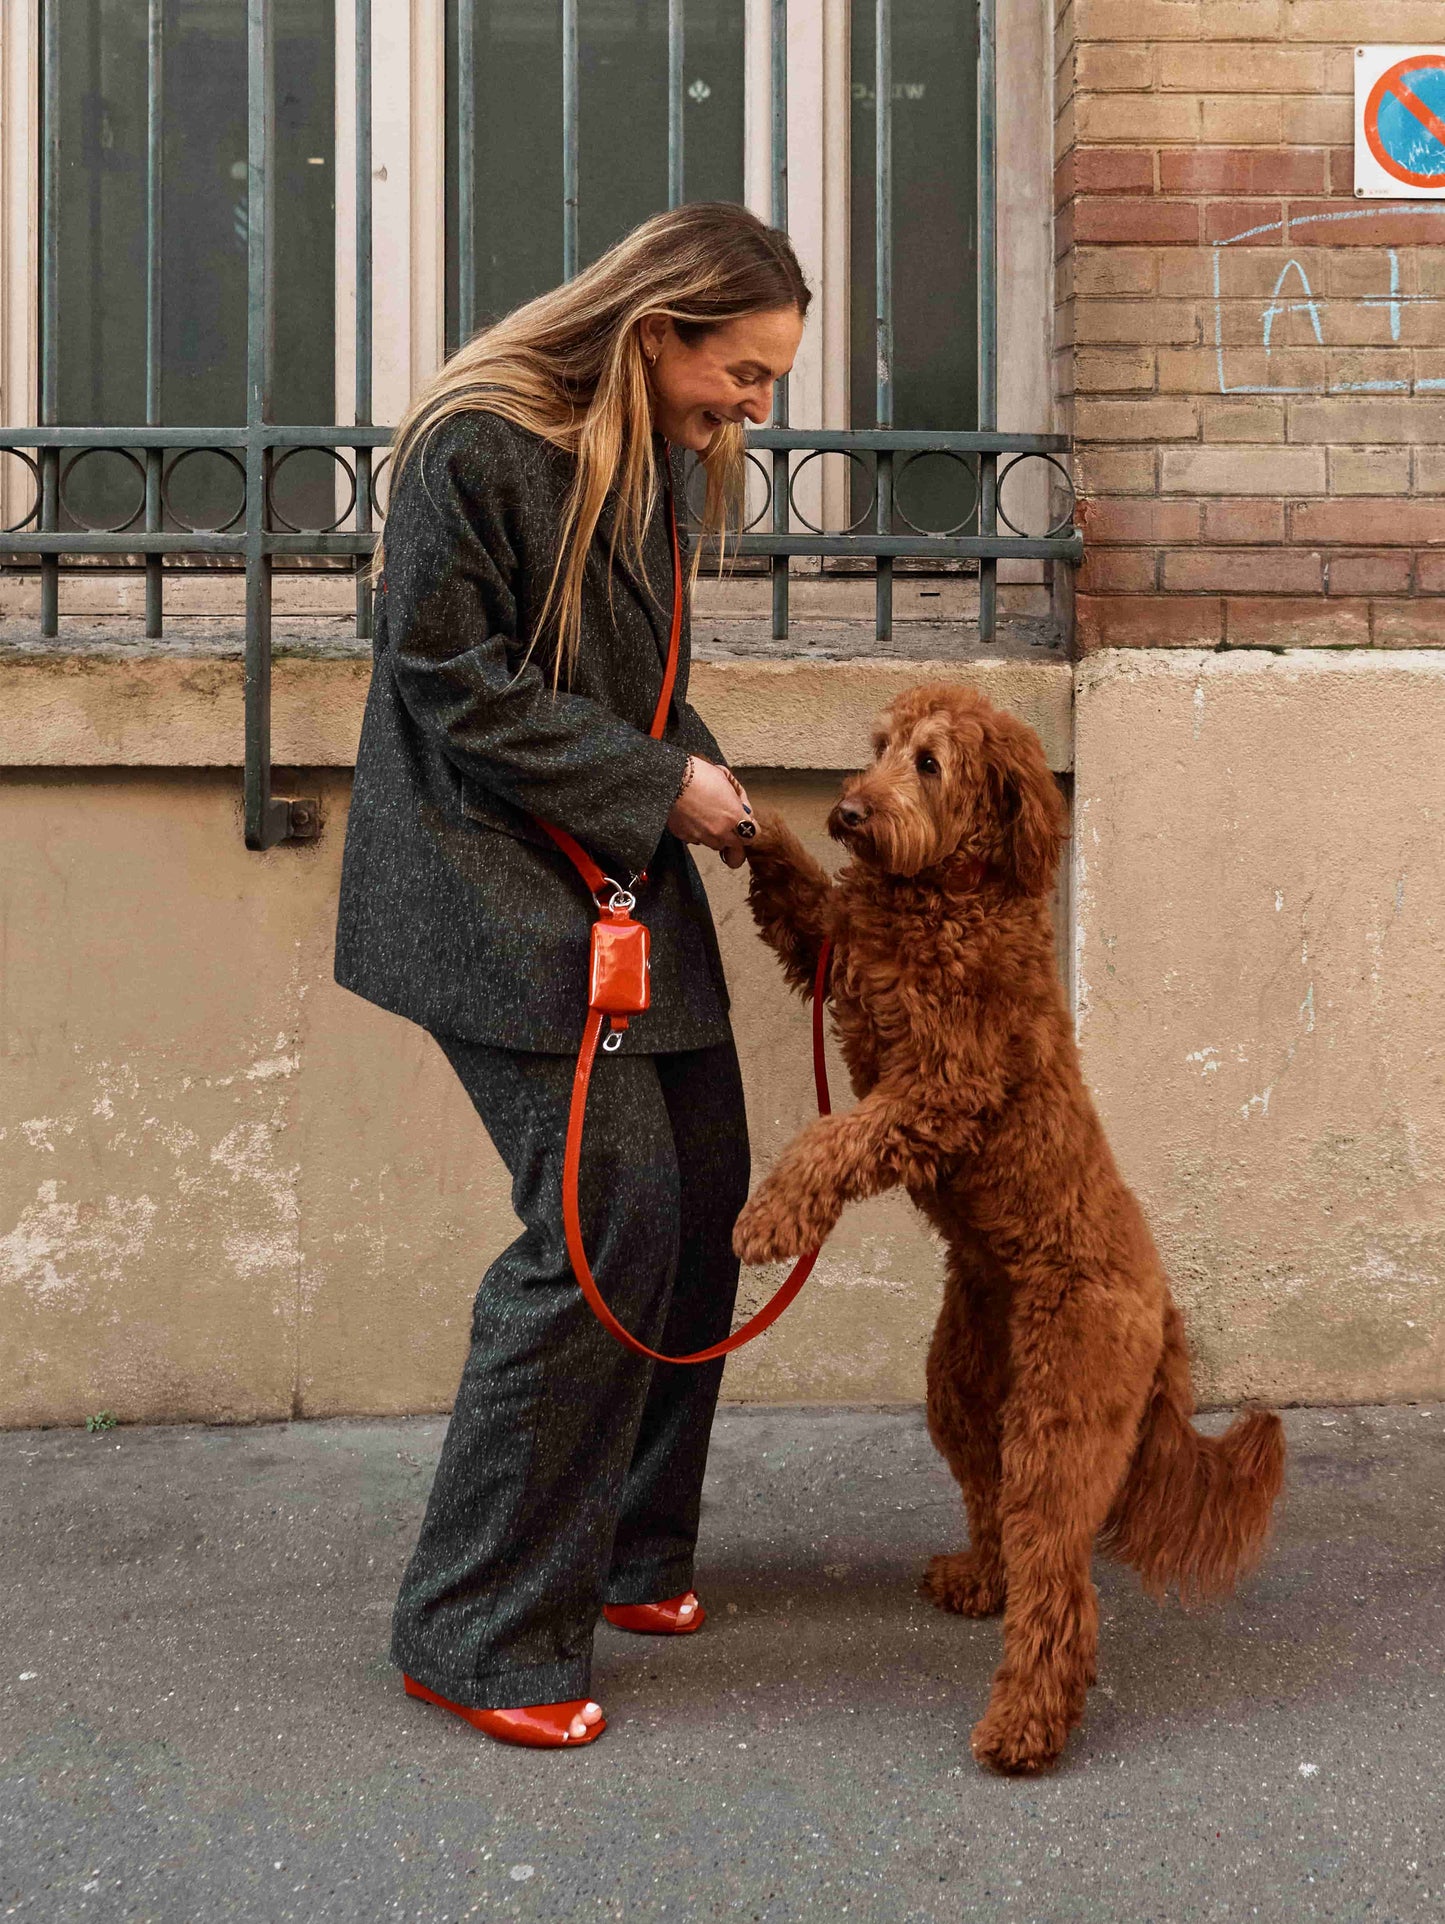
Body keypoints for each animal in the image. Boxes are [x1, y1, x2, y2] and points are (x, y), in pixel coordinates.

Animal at [735, 684, 1285, 1777]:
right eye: (878, 747)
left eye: (930, 763)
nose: (848, 811)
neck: (947, 893)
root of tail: (1160, 1311)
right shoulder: (837, 949)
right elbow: (805, 897)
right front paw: (749, 822)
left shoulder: (935, 1088)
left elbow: (832, 1135)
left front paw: (771, 1215)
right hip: (963, 1385)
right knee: (991, 1511)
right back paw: (977, 1584)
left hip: (1058, 1423)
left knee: (1056, 1581)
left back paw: (1025, 1726)